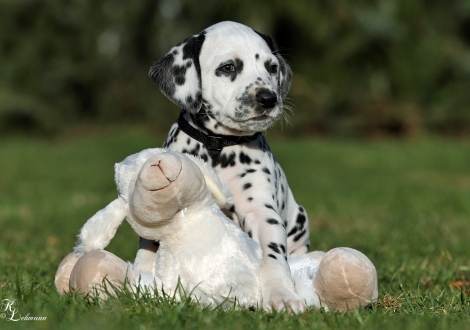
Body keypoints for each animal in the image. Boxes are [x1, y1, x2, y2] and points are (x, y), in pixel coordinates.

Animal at [138, 21, 310, 312]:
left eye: (272, 67)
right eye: (228, 67)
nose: (268, 98)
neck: (217, 146)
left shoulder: (260, 212)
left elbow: (273, 255)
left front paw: (281, 294)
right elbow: (148, 245)